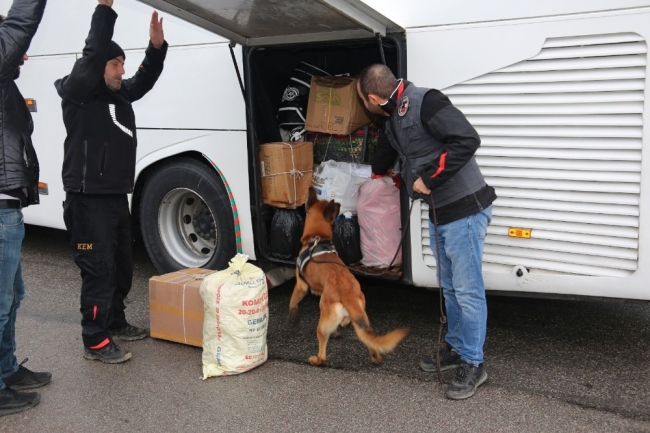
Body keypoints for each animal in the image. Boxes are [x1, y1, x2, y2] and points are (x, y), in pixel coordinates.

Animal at [290, 186, 410, 364]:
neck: (316, 239)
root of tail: (348, 294)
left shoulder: (301, 285)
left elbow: (292, 301)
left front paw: (293, 316)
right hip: (360, 319)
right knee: (367, 339)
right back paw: (374, 356)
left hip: (323, 321)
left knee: (323, 352)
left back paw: (316, 359)